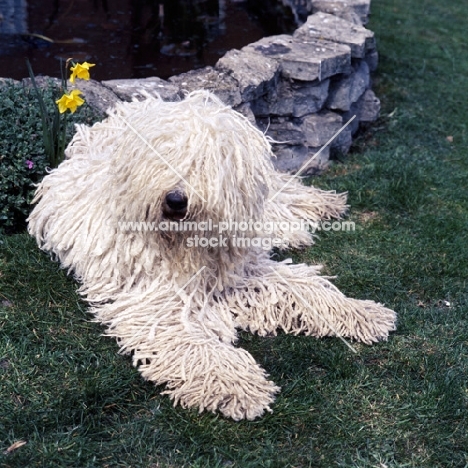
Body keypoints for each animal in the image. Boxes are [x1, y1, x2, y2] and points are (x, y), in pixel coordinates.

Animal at [28, 89, 394, 418]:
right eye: (164, 157)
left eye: (205, 163)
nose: (175, 200)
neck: (185, 246)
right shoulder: (158, 302)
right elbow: (194, 343)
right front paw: (235, 386)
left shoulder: (241, 270)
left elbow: (303, 288)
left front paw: (361, 312)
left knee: (282, 197)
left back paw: (322, 206)